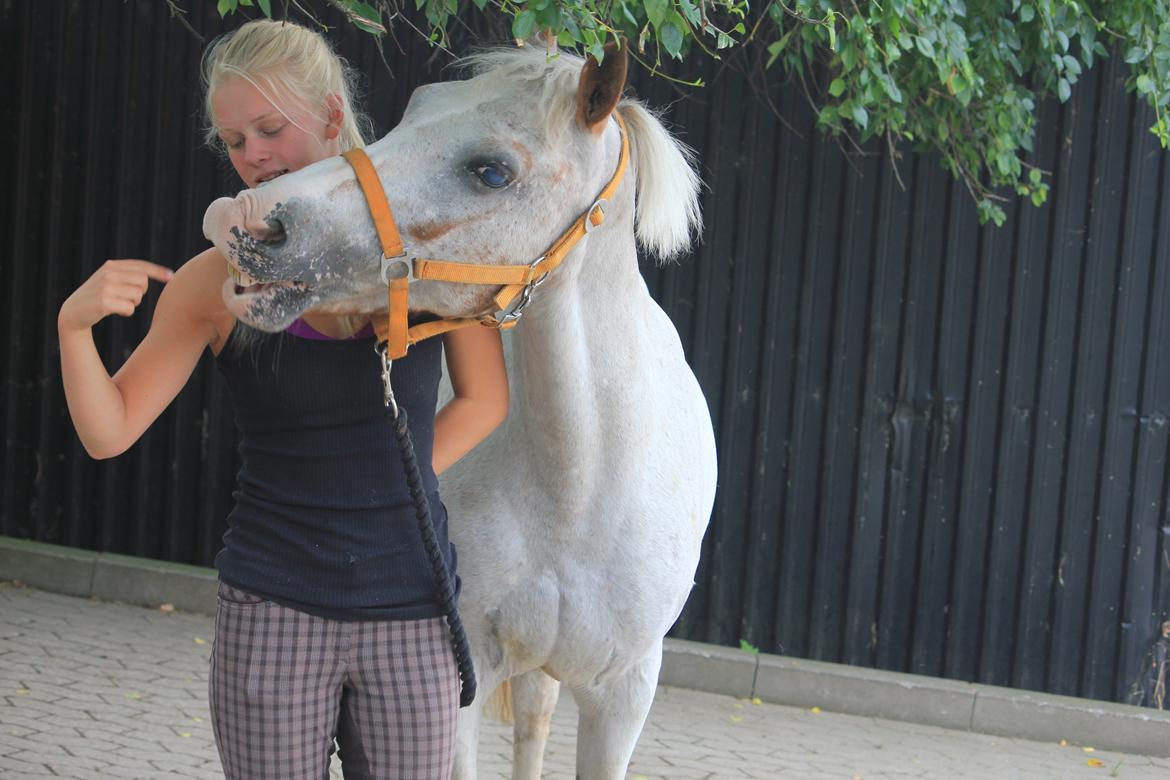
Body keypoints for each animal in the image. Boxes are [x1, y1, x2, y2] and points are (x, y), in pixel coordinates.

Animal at [202, 44, 716, 780]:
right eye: (416, 107)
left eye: (492, 171)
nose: (248, 219)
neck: (580, 485)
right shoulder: (459, 674)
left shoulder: (624, 696)